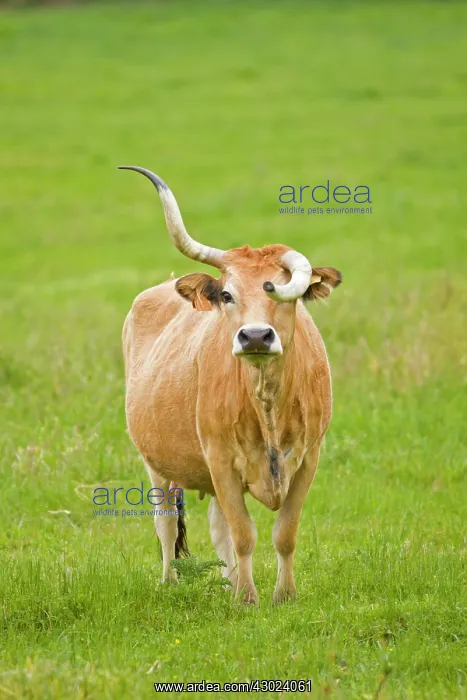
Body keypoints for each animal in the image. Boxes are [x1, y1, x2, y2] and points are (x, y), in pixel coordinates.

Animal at [120, 165, 342, 604]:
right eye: (226, 294)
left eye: (284, 294)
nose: (255, 336)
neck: (267, 404)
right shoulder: (220, 460)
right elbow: (243, 535)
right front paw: (247, 599)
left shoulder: (308, 458)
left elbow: (284, 533)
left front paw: (282, 595)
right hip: (157, 464)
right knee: (166, 523)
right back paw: (172, 582)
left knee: (217, 527)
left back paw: (229, 580)